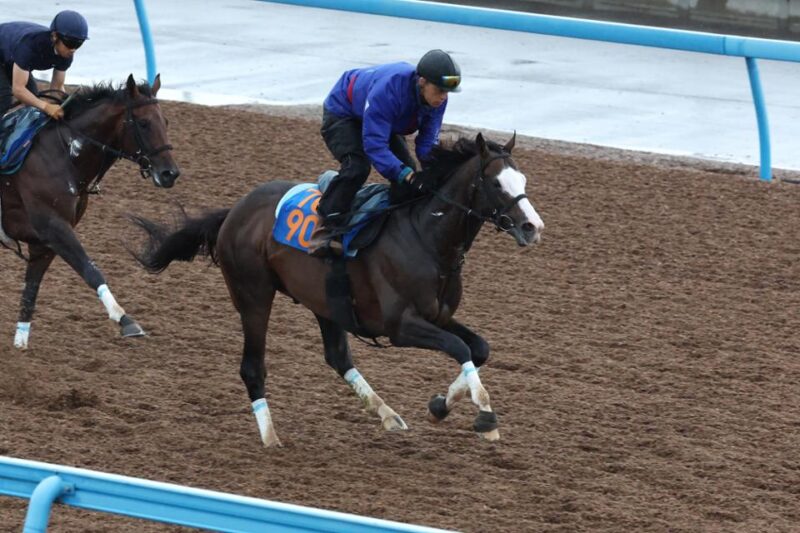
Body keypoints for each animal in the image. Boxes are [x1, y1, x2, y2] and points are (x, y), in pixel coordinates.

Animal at [1, 74, 179, 349]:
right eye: (144, 123)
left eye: (166, 122)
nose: (170, 173)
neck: (64, 154)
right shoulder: (54, 227)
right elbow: (90, 269)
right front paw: (125, 319)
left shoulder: (44, 242)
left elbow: (31, 288)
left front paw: (20, 342)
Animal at [132, 132, 543, 447]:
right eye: (496, 183)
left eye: (523, 181)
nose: (532, 227)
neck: (427, 238)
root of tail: (235, 211)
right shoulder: (401, 326)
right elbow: (460, 348)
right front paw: (485, 416)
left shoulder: (439, 316)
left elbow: (478, 348)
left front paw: (441, 404)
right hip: (253, 295)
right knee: (252, 367)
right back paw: (271, 439)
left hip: (325, 302)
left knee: (338, 357)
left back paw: (389, 415)